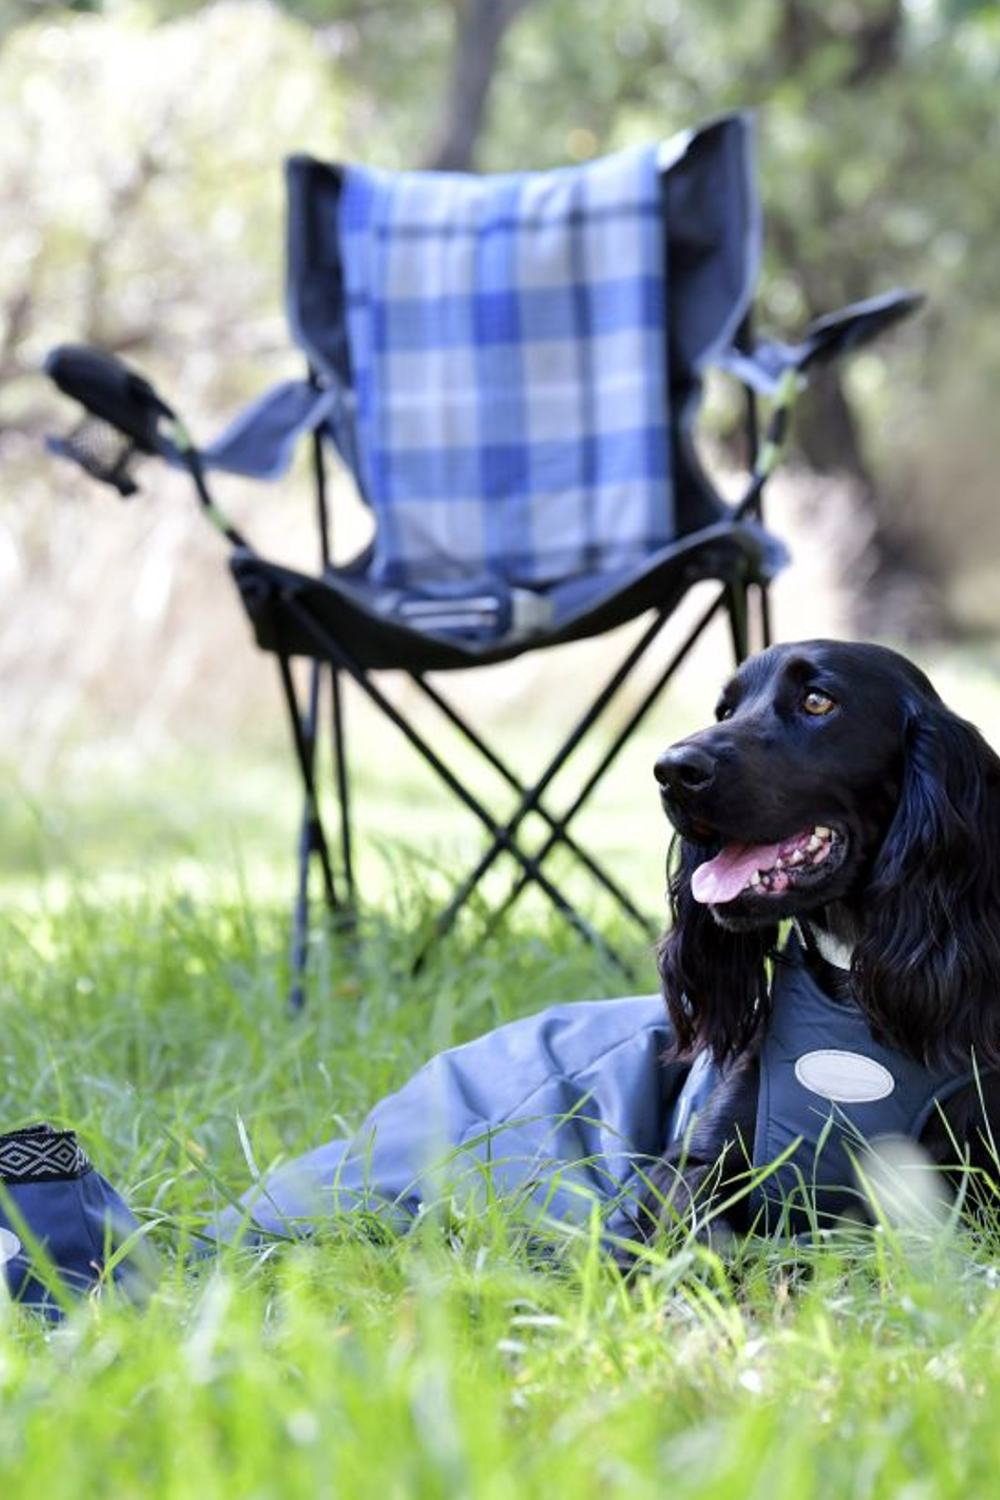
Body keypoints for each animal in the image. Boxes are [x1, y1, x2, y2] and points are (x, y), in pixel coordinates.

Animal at [644, 639, 1000, 1236]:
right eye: (724, 711)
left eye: (817, 701)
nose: (671, 771)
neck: (847, 978)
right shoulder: (693, 1163)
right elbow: (700, 1232)